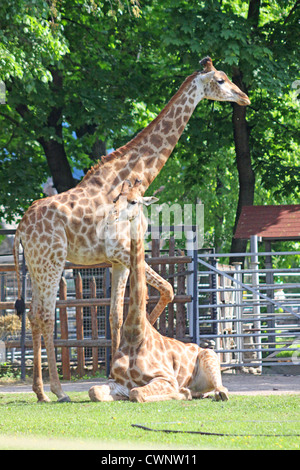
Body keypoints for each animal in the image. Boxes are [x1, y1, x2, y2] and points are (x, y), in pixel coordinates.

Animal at [88, 182, 229, 402]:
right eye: (115, 198)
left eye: (134, 201)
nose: (112, 216)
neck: (134, 334)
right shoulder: (116, 382)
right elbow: (94, 391)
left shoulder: (165, 378)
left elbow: (137, 393)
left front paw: (180, 393)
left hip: (210, 356)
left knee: (222, 389)